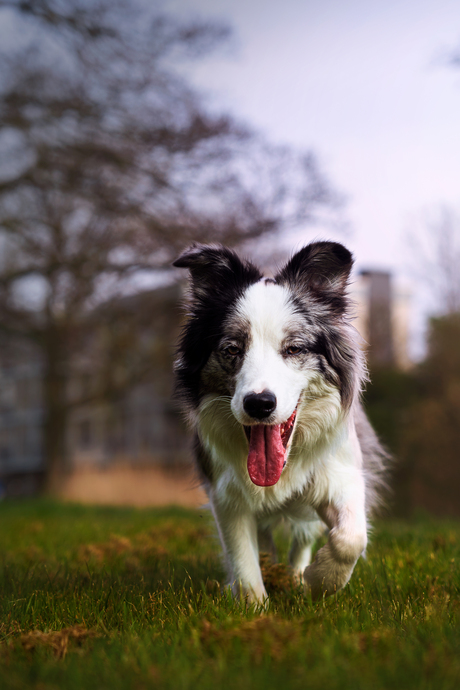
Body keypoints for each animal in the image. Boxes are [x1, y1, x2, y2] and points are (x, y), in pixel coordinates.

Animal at [172, 241, 388, 600]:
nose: (259, 404)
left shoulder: (340, 473)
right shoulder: (226, 491)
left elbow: (351, 538)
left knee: (303, 538)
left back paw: (297, 575)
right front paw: (253, 605)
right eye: (232, 349)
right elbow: (242, 556)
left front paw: (320, 580)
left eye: (294, 348)